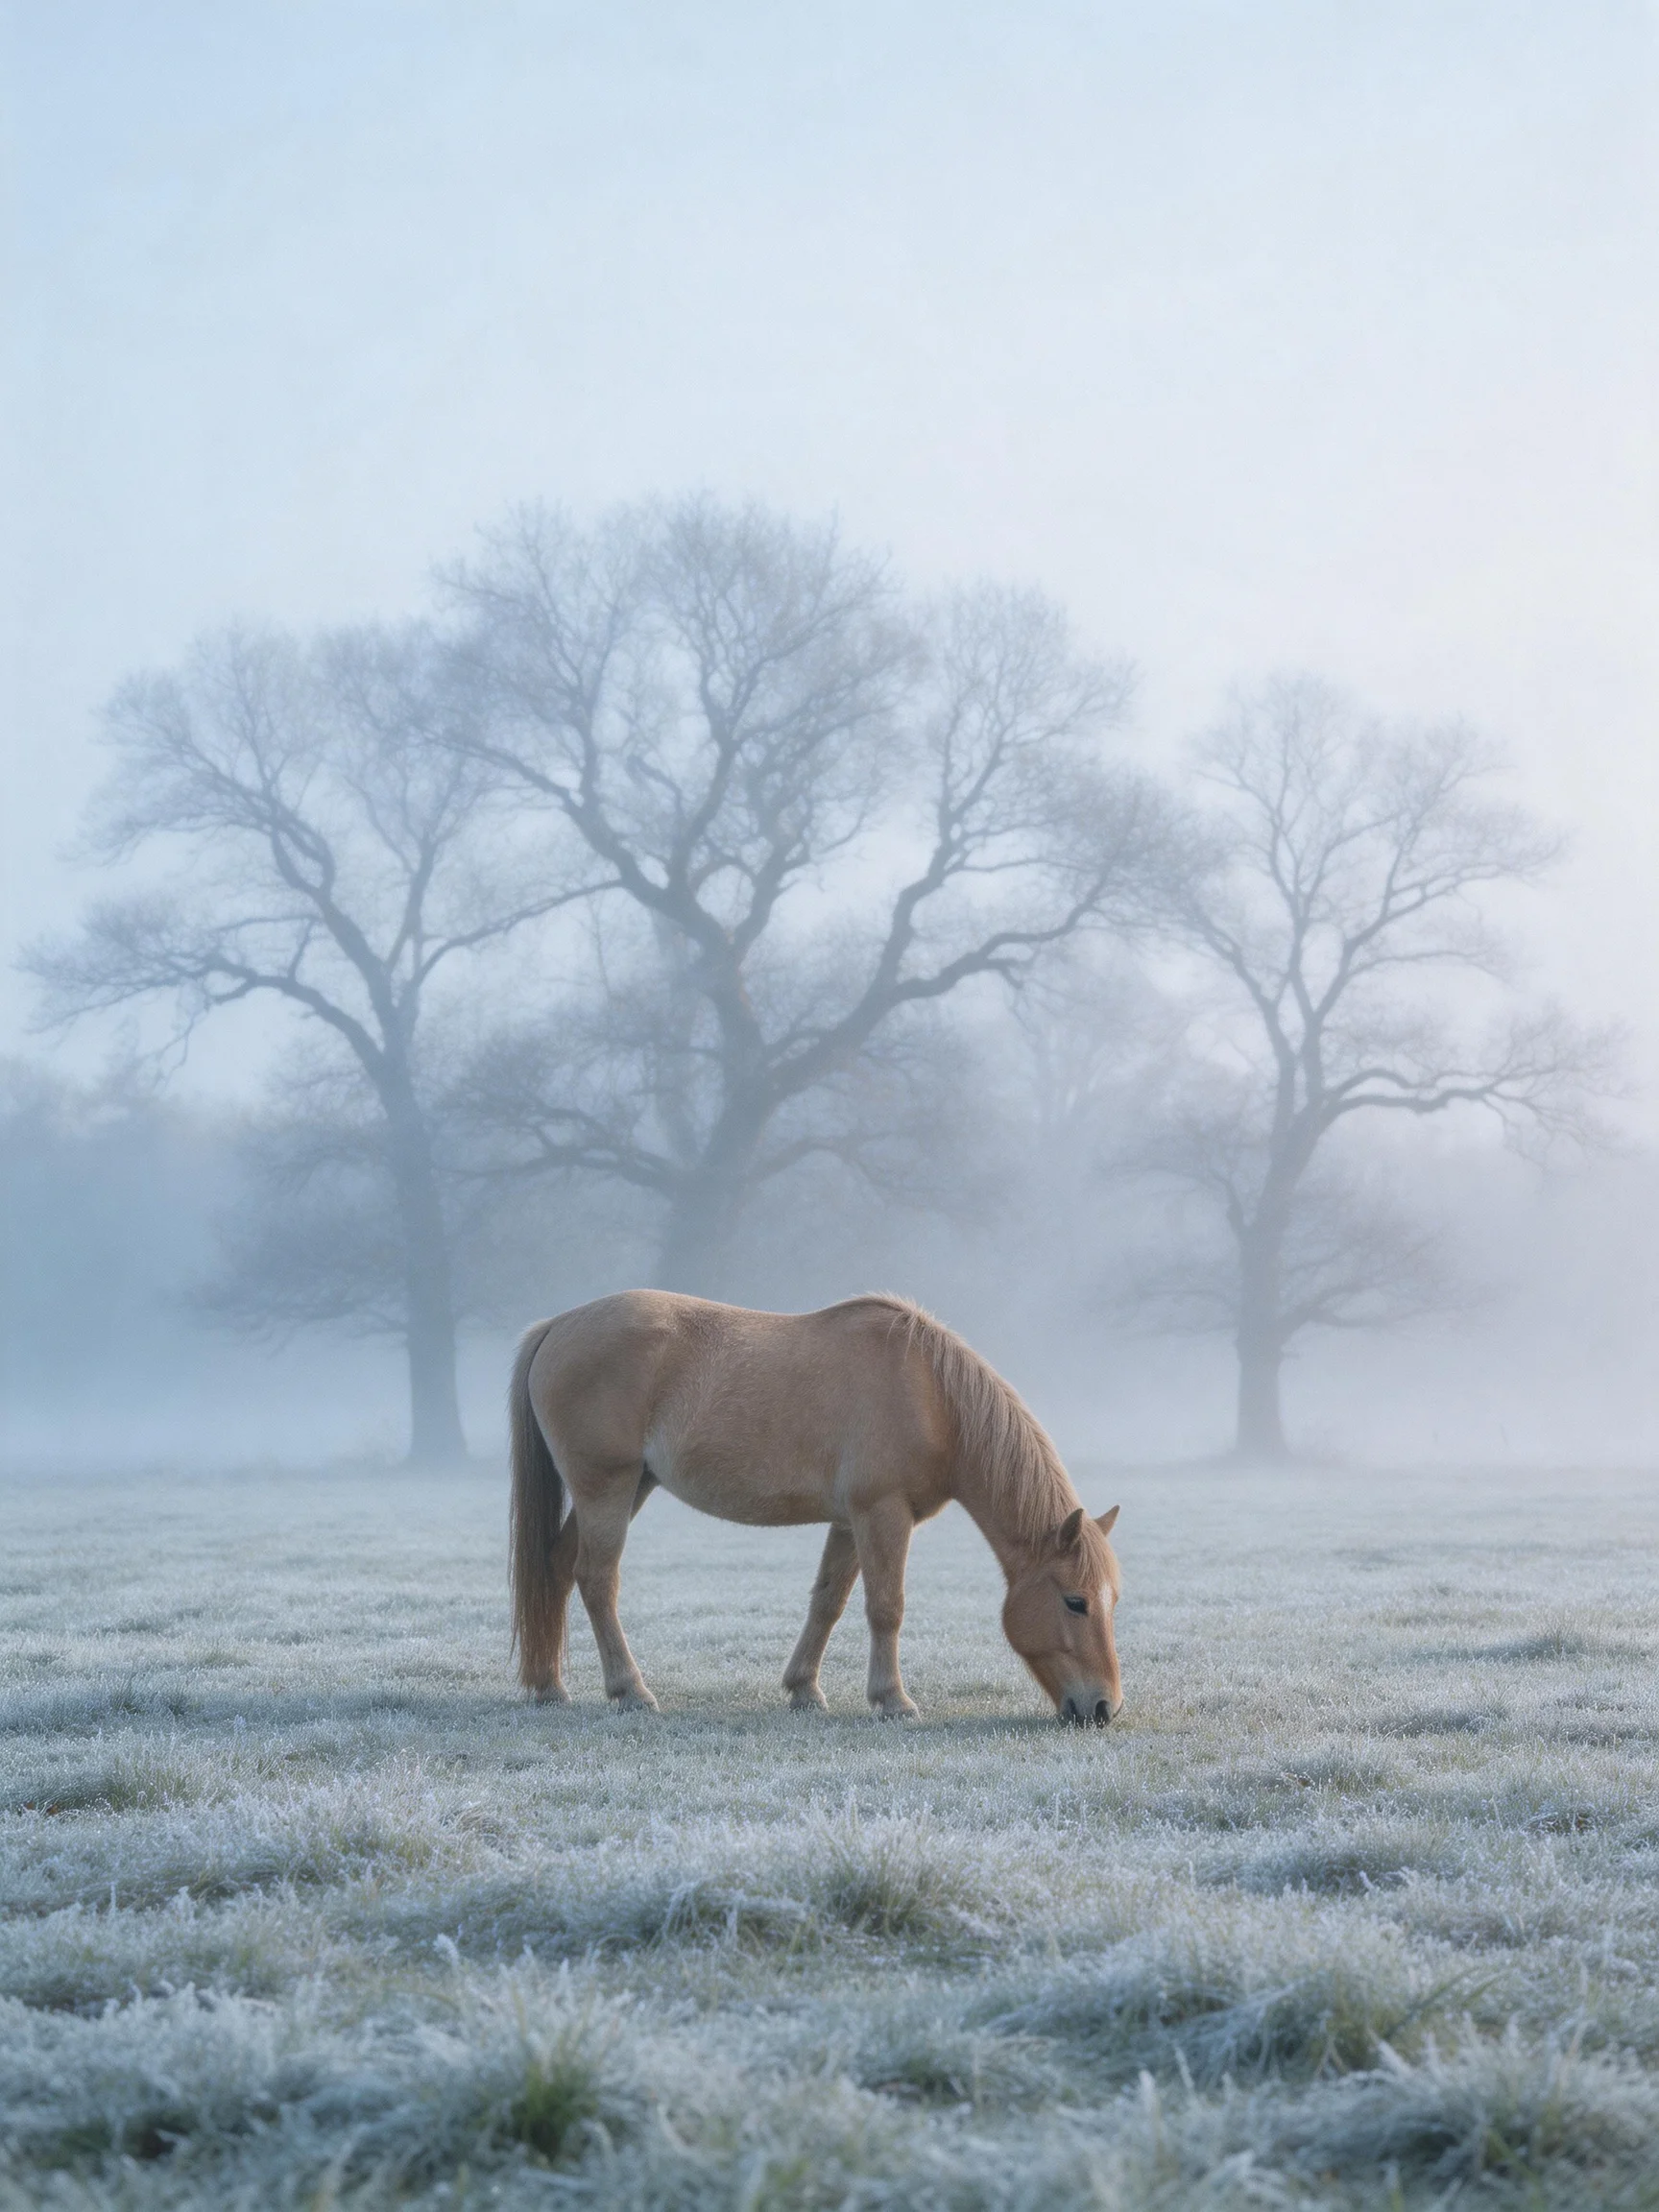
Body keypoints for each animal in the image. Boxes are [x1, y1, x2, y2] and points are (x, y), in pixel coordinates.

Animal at [509, 1290, 1123, 1726]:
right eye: (1075, 1602)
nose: (1104, 1709)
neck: (933, 1396)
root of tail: (558, 1325)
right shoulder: (883, 1515)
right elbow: (886, 1607)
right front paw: (893, 1700)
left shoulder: (850, 1522)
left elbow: (828, 1602)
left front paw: (804, 1689)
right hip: (606, 1488)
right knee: (597, 1579)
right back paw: (631, 1691)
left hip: (628, 1487)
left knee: (557, 1568)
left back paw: (549, 1686)